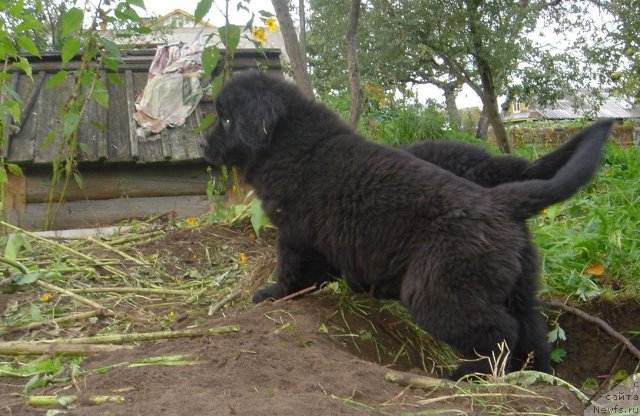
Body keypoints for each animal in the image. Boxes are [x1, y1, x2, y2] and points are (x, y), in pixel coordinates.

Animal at [201, 72, 608, 380]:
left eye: (226, 119)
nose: (202, 145)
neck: (293, 145)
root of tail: (500, 200)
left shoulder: (296, 233)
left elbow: (289, 268)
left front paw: (271, 294)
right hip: (518, 287)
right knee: (532, 332)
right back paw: (537, 377)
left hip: (437, 289)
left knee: (499, 333)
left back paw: (465, 376)